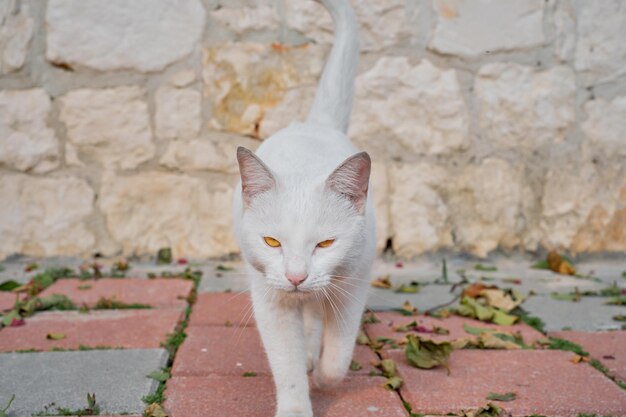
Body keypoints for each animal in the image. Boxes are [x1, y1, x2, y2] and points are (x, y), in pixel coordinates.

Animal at [232, 0, 372, 412]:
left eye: (325, 244)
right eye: (271, 242)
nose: (296, 277)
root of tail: (315, 123)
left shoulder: (353, 287)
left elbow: (339, 356)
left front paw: (325, 379)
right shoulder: (271, 301)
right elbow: (288, 366)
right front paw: (297, 402)